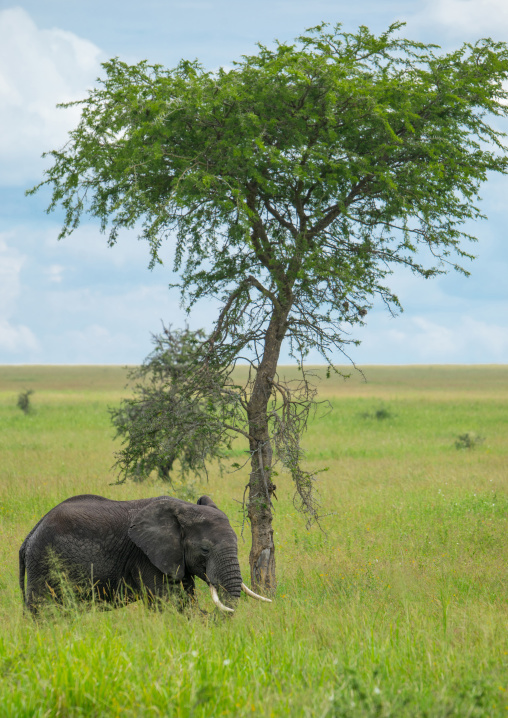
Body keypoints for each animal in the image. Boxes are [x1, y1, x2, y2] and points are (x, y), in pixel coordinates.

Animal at [19, 493, 270, 614]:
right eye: (205, 550)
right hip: (45, 563)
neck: (184, 509)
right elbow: (169, 601)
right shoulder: (146, 557)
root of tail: (30, 536)